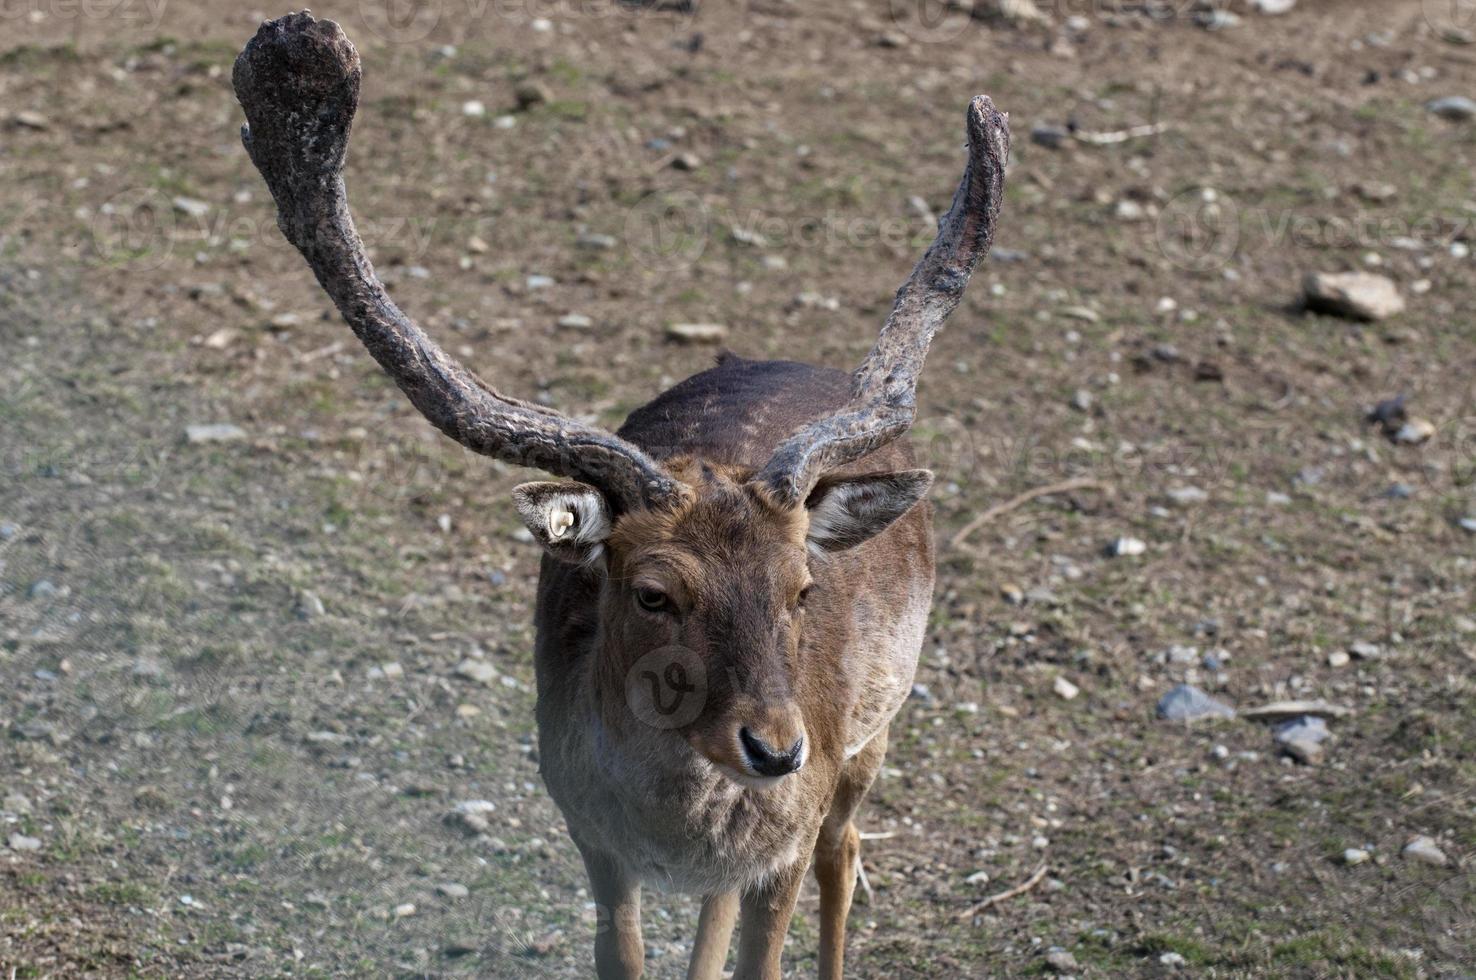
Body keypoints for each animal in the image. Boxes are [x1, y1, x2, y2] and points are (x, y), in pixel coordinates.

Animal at [233, 13, 1015, 974]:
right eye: (653, 593)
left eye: (803, 589)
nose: (777, 749)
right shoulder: (589, 833)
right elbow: (630, 952)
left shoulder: (786, 841)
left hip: (874, 734)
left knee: (848, 845)